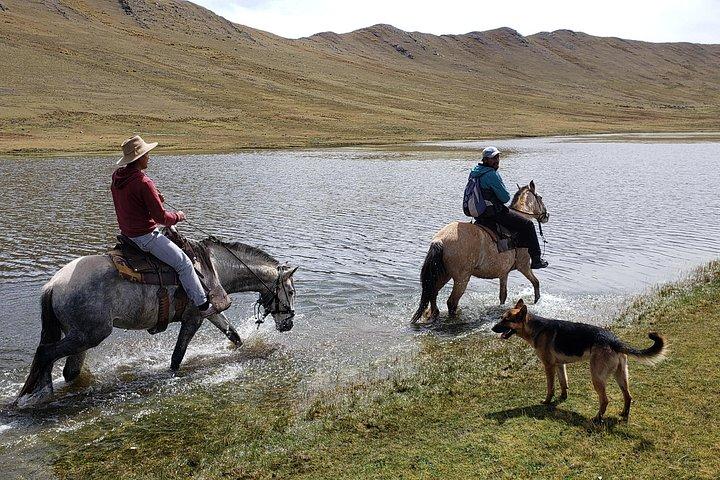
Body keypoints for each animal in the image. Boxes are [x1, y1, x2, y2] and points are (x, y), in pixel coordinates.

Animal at [16, 236, 297, 407]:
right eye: (292, 291)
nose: (288, 325)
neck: (215, 268)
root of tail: (53, 285)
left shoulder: (210, 313)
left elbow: (233, 335)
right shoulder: (194, 319)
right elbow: (177, 356)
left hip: (80, 336)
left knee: (69, 370)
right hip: (88, 335)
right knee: (45, 353)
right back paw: (40, 393)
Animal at [411, 181, 549, 323]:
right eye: (540, 198)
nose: (546, 216)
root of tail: (440, 240)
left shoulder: (503, 273)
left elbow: (503, 295)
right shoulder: (524, 266)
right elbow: (536, 283)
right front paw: (536, 301)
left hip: (444, 274)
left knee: (433, 293)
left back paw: (433, 314)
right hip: (462, 278)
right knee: (451, 302)